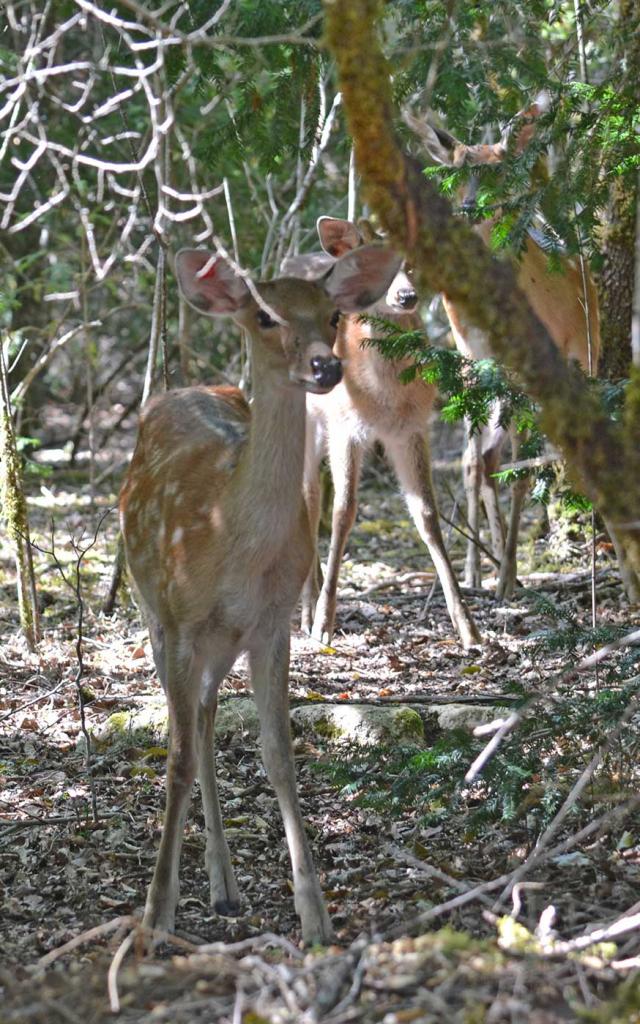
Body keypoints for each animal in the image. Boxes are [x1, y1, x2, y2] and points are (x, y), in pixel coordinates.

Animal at [119, 241, 399, 942]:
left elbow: (279, 756)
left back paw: (226, 887)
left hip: (224, 642)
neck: (235, 542)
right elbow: (176, 759)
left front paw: (315, 916)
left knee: (207, 715)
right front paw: (156, 914)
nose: (325, 364)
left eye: (333, 313)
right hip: (154, 611)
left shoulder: (272, 625)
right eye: (266, 315)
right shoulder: (183, 621)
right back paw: (207, 889)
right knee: (189, 725)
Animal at [282, 216, 477, 647]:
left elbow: (427, 514)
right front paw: (323, 624)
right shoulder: (344, 427)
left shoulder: (413, 429)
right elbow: (343, 512)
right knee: (307, 496)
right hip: (303, 415)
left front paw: (468, 627)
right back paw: (306, 610)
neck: (383, 400)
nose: (406, 296)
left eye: (417, 258)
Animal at [407, 96, 602, 598]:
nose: (468, 209)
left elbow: (521, 469)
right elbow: (477, 464)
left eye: (497, 171)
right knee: (482, 459)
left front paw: (506, 579)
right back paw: (488, 566)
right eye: (454, 172)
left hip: (580, 361)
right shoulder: (472, 364)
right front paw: (481, 573)